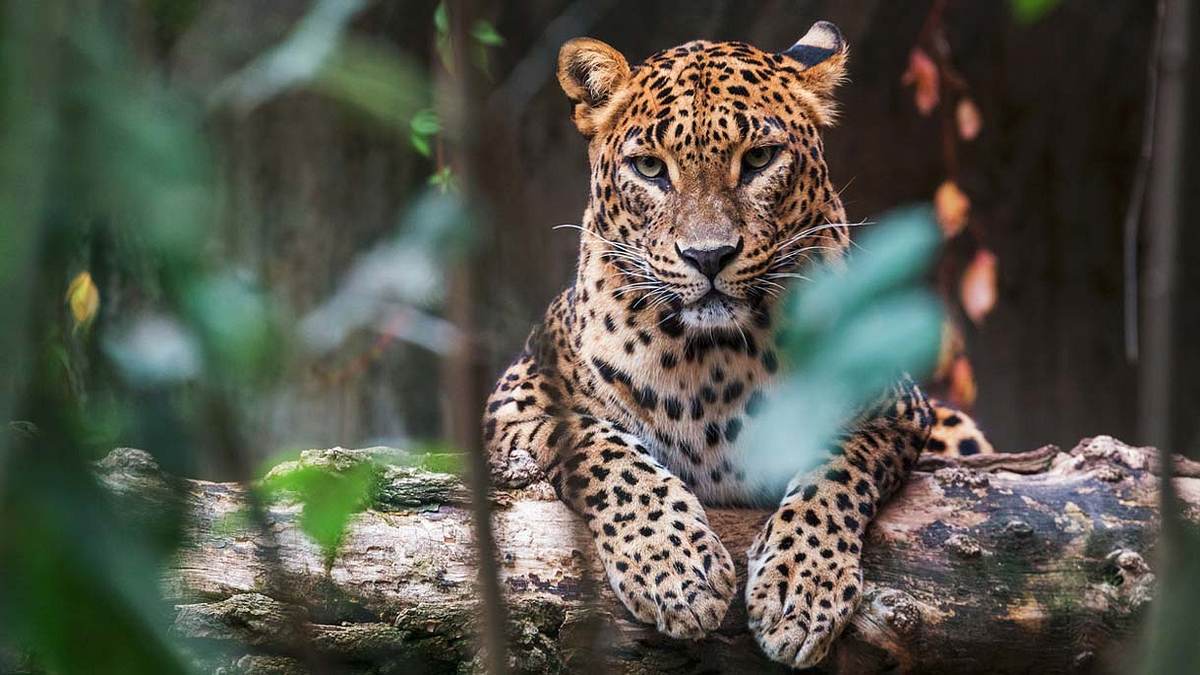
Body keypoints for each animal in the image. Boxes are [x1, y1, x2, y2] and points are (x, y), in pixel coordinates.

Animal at [482, 22, 998, 667]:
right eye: (649, 168)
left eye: (758, 159)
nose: (708, 256)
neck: (713, 359)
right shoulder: (517, 399)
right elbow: (605, 451)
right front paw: (676, 570)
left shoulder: (895, 407)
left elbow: (835, 468)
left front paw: (801, 590)